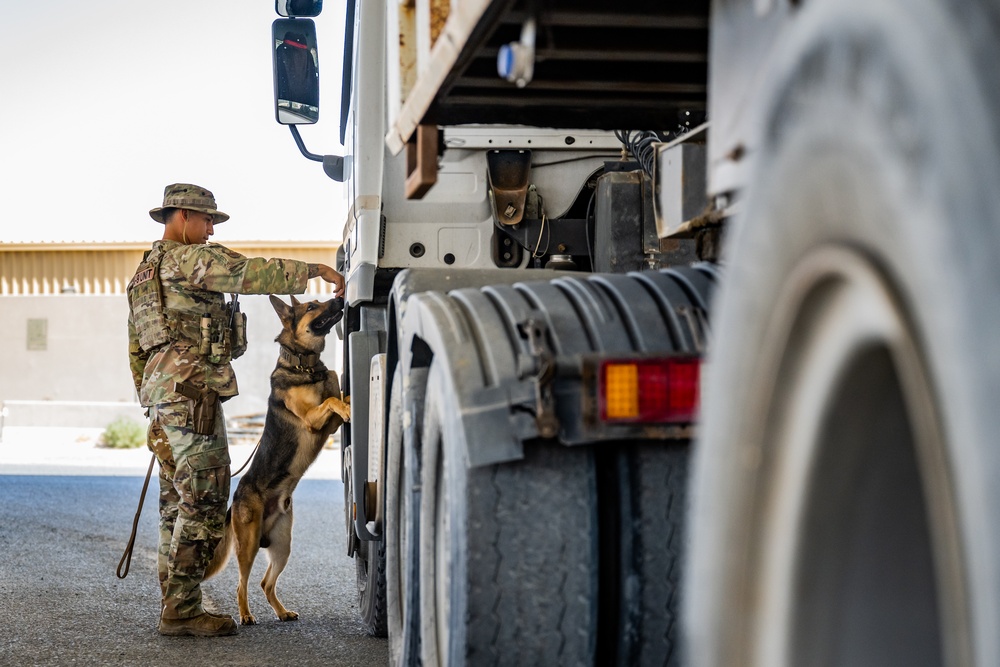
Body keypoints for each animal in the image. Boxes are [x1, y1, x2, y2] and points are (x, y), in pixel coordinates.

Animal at [201, 294, 350, 624]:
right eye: (312, 306)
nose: (339, 298)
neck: (305, 367)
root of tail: (235, 499)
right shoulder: (313, 420)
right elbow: (332, 401)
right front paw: (345, 405)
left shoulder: (328, 424)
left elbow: (336, 392)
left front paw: (347, 401)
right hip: (249, 545)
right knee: (242, 583)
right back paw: (245, 615)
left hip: (283, 546)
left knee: (265, 583)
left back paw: (282, 612)